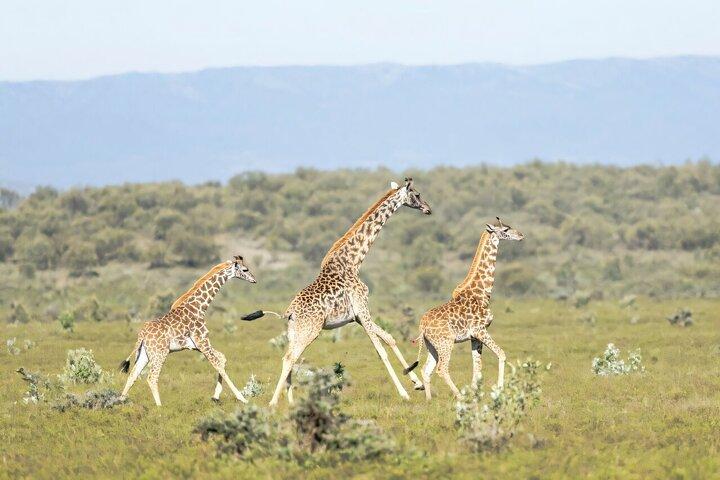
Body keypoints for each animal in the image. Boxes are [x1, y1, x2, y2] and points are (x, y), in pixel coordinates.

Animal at [118, 255, 258, 406]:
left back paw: (119, 401)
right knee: (151, 377)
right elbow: (218, 364)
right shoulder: (202, 342)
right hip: (160, 353)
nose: (254, 280)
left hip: (145, 353)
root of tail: (142, 333)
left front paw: (215, 396)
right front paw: (242, 398)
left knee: (133, 375)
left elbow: (222, 358)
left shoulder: (196, 345)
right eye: (245, 269)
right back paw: (159, 407)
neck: (199, 307)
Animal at [242, 178, 432, 406]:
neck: (353, 262)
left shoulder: (357, 316)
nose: (428, 209)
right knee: (289, 358)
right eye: (417, 194)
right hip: (311, 330)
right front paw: (404, 393)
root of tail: (289, 312)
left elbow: (389, 338)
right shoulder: (362, 309)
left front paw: (417, 382)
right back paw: (273, 403)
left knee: (290, 357)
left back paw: (291, 403)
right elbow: (380, 351)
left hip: (294, 332)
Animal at [404, 217, 524, 400]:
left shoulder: (474, 336)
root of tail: (422, 326)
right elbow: (501, 354)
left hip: (432, 345)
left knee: (426, 370)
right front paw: (499, 389)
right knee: (441, 368)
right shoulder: (480, 330)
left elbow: (477, 368)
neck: (482, 293)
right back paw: (459, 396)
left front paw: (476, 395)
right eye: (505, 229)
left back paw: (429, 400)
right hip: (446, 342)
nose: (521, 235)